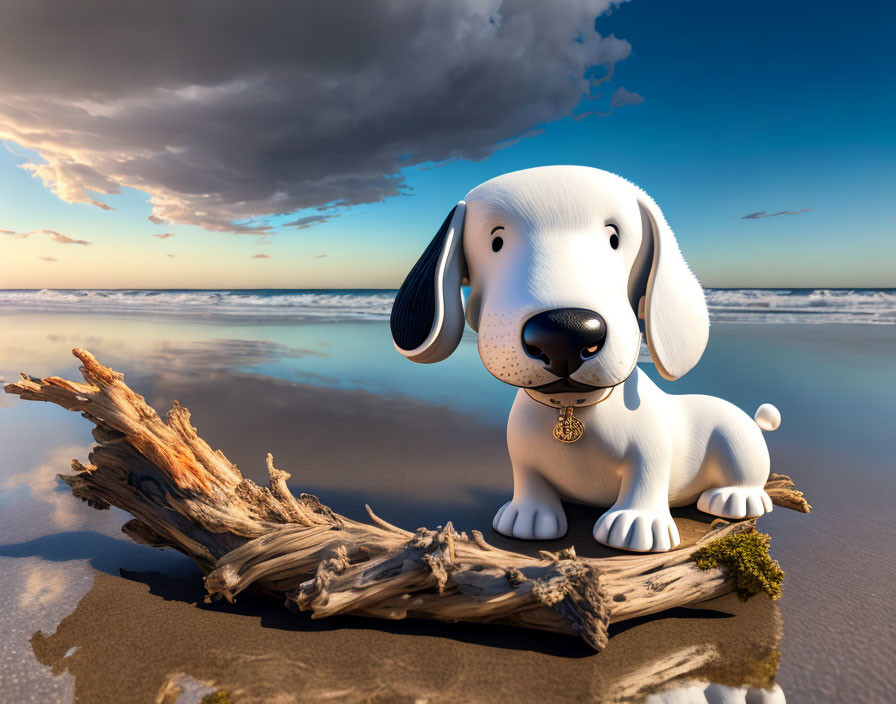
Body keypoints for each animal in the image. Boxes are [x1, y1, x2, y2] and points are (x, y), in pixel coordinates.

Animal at [390, 165, 776, 552]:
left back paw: (735, 498)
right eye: (496, 241)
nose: (564, 332)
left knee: (745, 475)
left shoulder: (652, 449)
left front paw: (637, 522)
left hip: (736, 438)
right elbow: (528, 477)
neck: (569, 405)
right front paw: (528, 514)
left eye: (615, 238)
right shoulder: (523, 456)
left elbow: (647, 474)